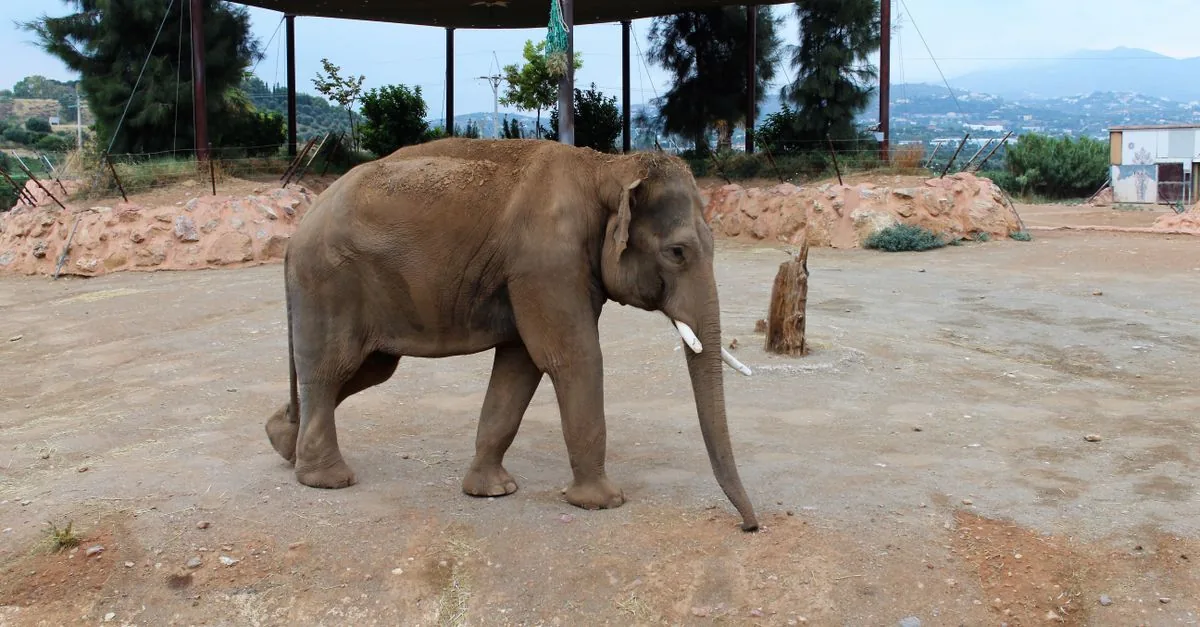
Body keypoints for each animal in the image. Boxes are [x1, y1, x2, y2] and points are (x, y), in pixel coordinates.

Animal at [264, 137, 760, 531]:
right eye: (677, 252)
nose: (749, 527)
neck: (607, 167)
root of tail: (298, 229)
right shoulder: (546, 262)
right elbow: (572, 358)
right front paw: (605, 502)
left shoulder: (536, 273)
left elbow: (519, 367)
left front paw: (492, 491)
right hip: (329, 283)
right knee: (332, 371)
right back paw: (327, 479)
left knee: (364, 370)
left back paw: (282, 441)